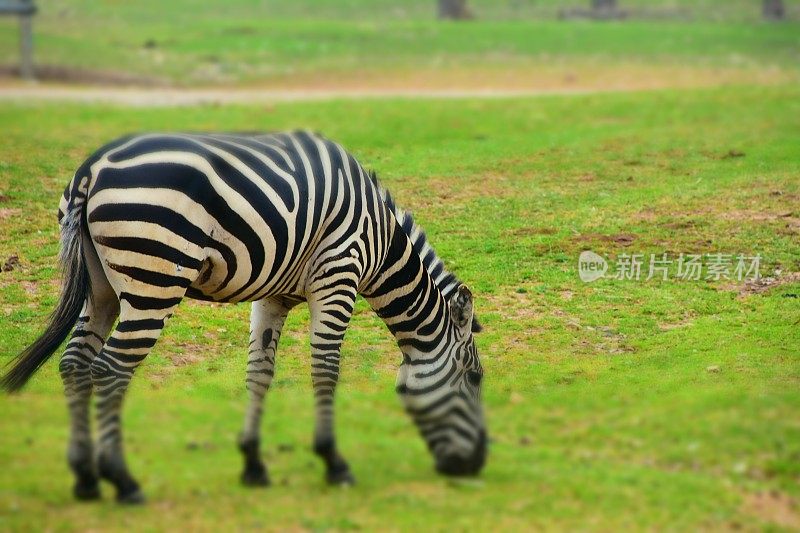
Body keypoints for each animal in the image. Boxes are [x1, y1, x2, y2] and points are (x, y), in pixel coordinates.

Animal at [1, 130, 488, 502]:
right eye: (475, 378)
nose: (478, 464)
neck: (381, 241)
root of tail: (93, 168)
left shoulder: (273, 296)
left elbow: (259, 374)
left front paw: (253, 464)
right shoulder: (338, 277)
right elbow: (326, 370)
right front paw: (334, 462)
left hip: (101, 288)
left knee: (74, 364)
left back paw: (85, 479)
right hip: (154, 280)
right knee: (111, 370)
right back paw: (122, 481)